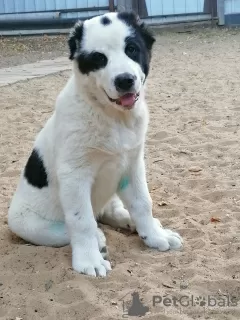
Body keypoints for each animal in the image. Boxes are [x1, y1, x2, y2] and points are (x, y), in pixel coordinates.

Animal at [8, 11, 183, 278]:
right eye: (99, 58)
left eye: (132, 49)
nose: (125, 80)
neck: (112, 116)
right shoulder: (75, 176)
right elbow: (82, 221)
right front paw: (89, 260)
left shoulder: (132, 165)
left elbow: (143, 203)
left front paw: (154, 236)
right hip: (28, 224)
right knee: (74, 228)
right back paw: (99, 239)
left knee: (110, 211)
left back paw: (130, 221)